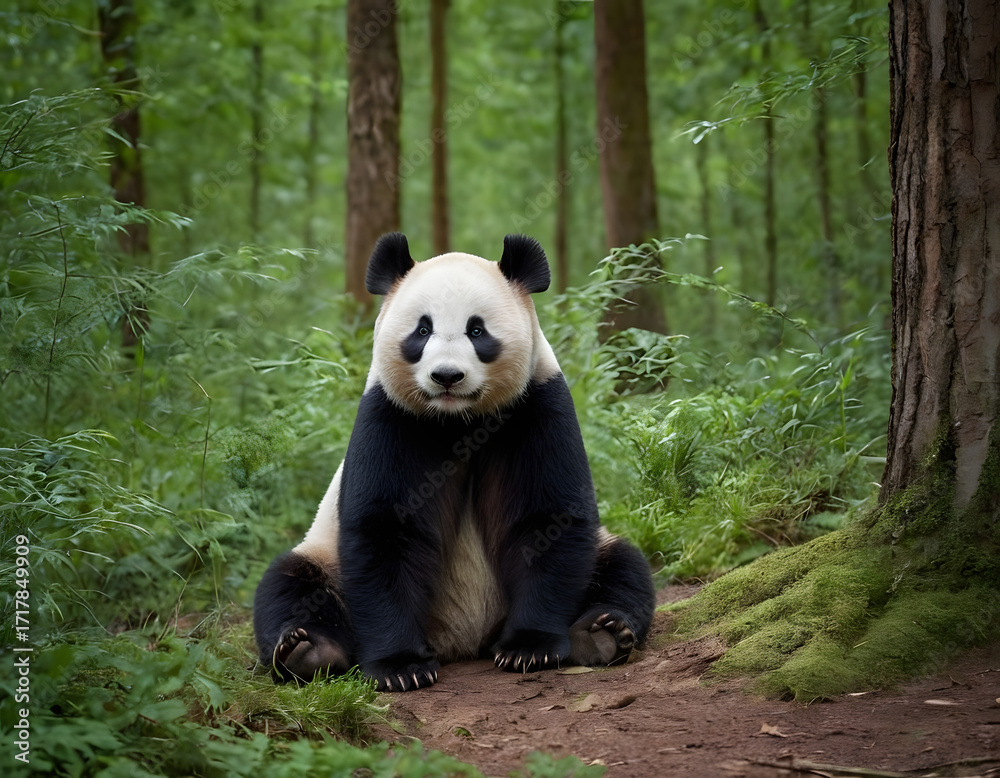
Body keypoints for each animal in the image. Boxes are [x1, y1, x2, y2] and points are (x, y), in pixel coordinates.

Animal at [253, 233, 655, 692]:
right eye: (422, 330)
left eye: (476, 330)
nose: (446, 376)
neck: (457, 420)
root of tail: (461, 641)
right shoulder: (392, 416)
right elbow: (385, 528)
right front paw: (401, 667)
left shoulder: (535, 403)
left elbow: (548, 518)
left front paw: (528, 647)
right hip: (325, 555)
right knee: (289, 583)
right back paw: (307, 651)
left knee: (624, 565)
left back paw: (601, 633)